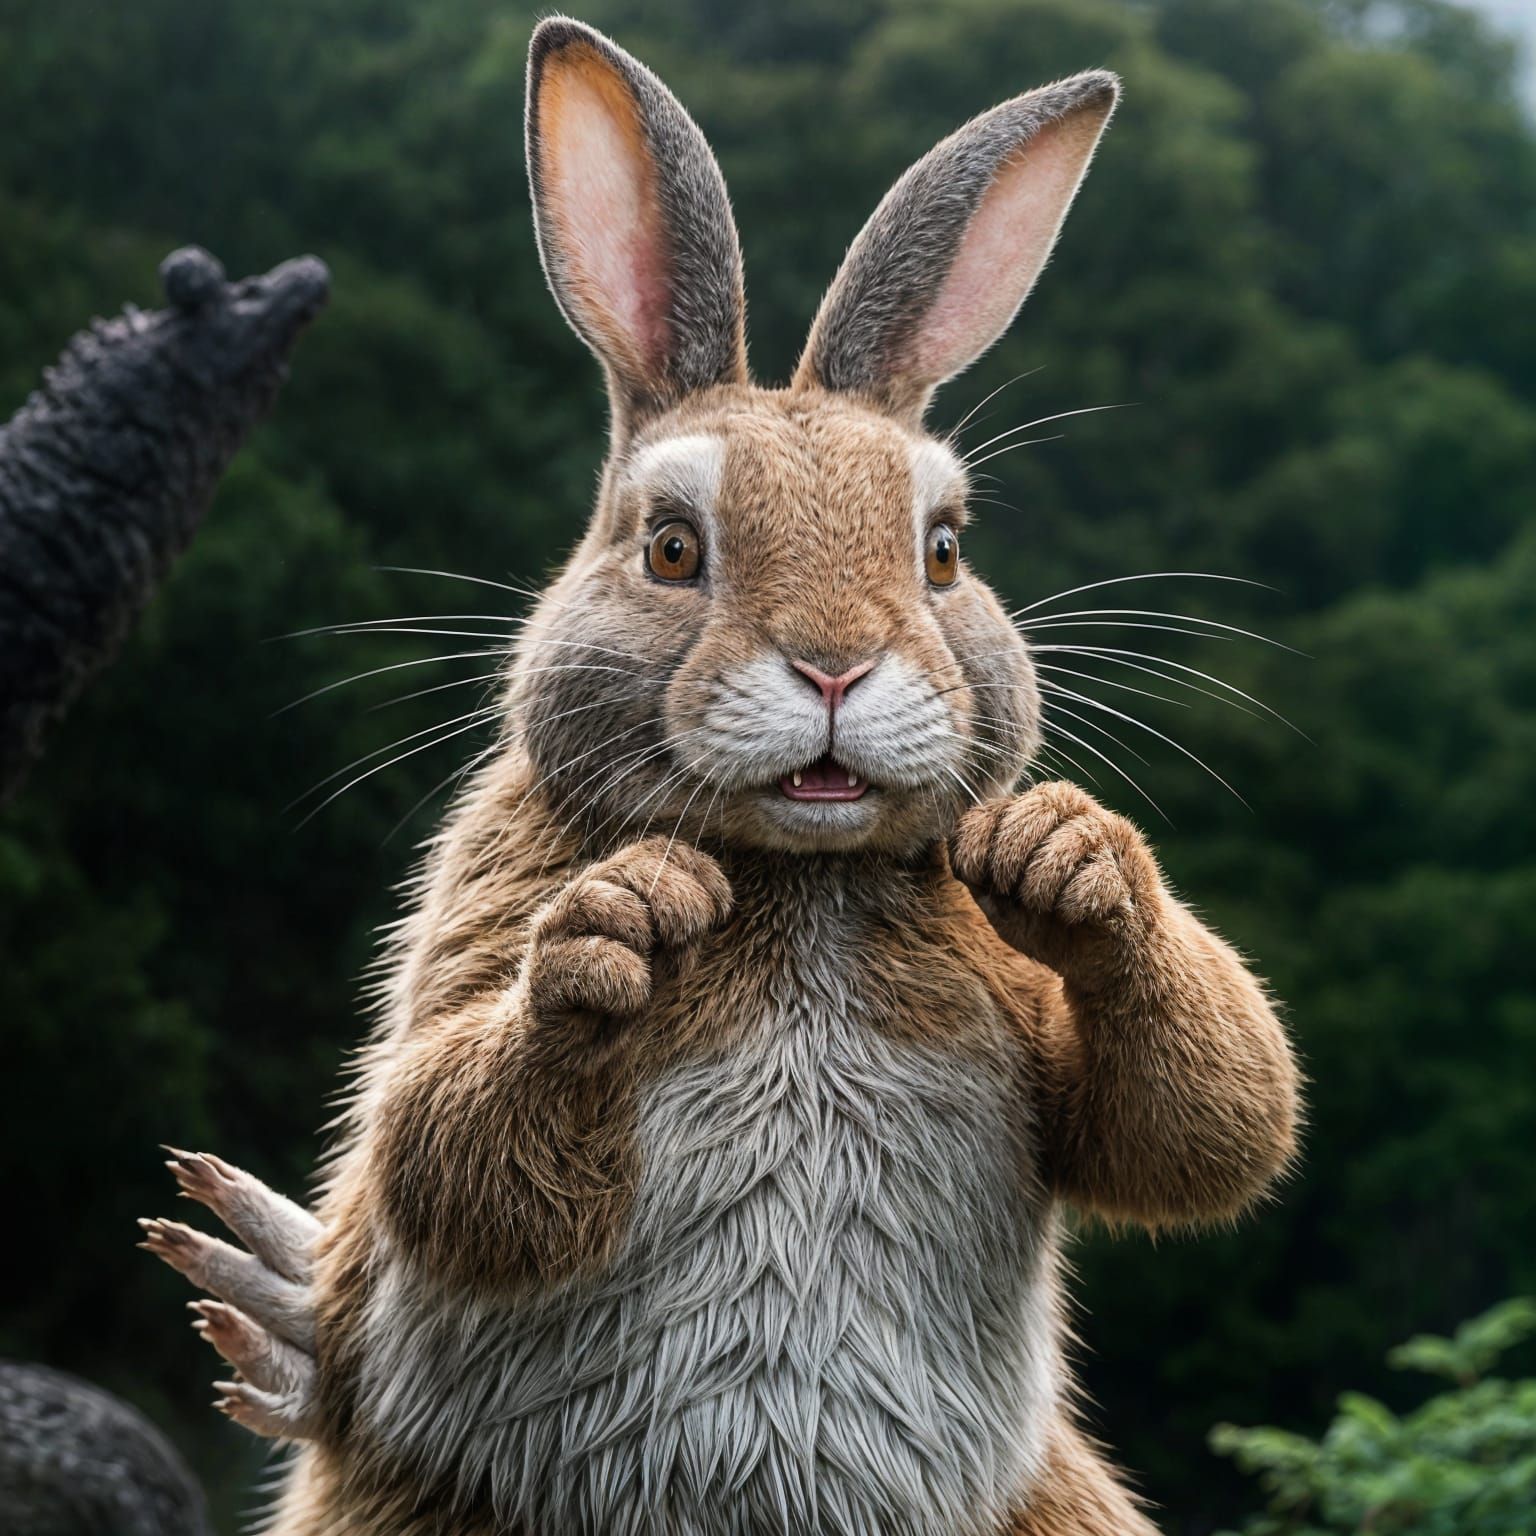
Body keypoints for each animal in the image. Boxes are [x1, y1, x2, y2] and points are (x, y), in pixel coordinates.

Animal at [140, 16, 1299, 1535]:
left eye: (943, 550)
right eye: (673, 548)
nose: (834, 669)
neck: (803, 883)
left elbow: (1204, 1118)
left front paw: (1067, 859)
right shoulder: (482, 914)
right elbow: (445, 1148)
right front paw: (621, 930)